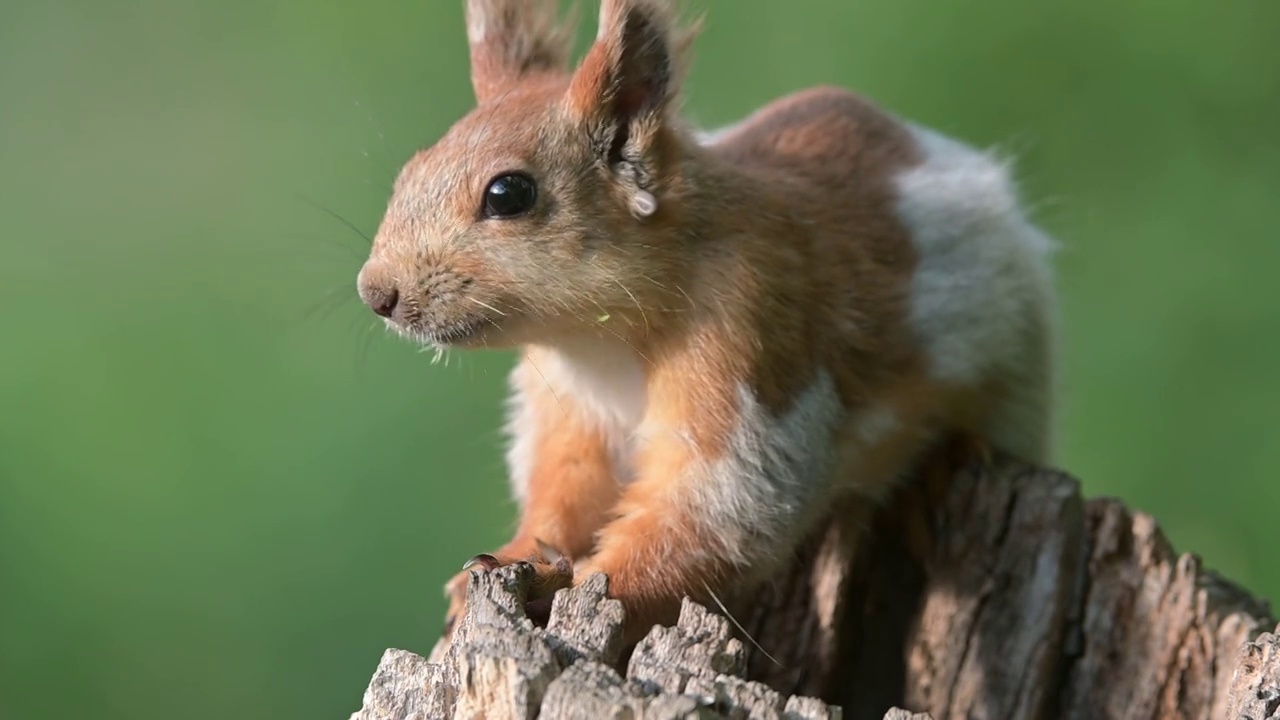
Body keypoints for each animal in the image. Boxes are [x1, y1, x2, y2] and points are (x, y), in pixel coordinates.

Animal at [355, 0, 1054, 648]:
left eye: (508, 194)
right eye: (409, 171)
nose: (375, 292)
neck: (598, 343)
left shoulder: (753, 348)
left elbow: (716, 511)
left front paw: (573, 588)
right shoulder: (569, 412)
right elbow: (564, 487)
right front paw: (510, 558)